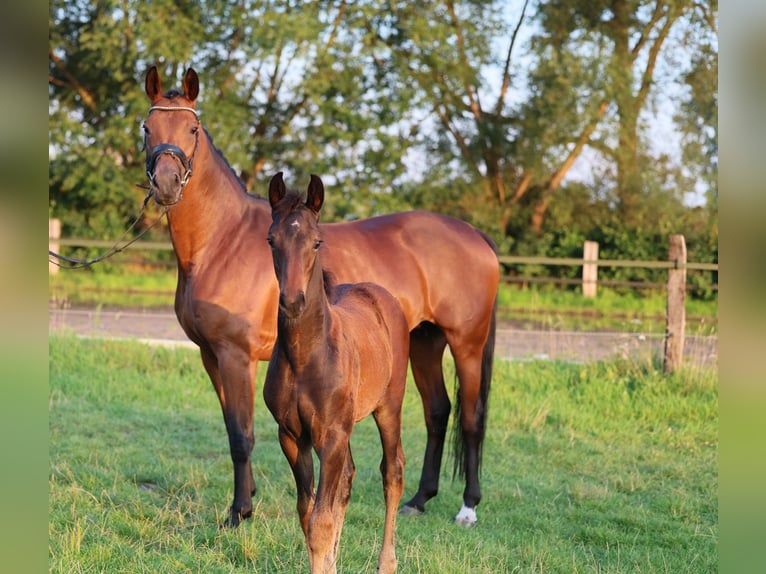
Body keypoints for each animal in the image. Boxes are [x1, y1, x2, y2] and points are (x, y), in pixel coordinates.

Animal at [143, 65, 500, 528]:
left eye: (192, 129)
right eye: (147, 128)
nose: (167, 184)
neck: (221, 241)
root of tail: (475, 235)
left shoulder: (235, 355)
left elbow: (241, 435)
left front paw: (240, 512)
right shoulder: (210, 355)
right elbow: (231, 429)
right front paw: (247, 499)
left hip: (466, 343)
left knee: (472, 418)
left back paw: (468, 507)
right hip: (424, 341)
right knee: (437, 412)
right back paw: (420, 499)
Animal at [266, 176, 412, 574]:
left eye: (316, 241)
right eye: (271, 239)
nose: (292, 301)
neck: (305, 356)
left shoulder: (330, 436)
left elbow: (321, 520)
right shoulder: (292, 436)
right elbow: (309, 513)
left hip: (388, 407)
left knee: (392, 472)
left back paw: (387, 562)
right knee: (347, 479)